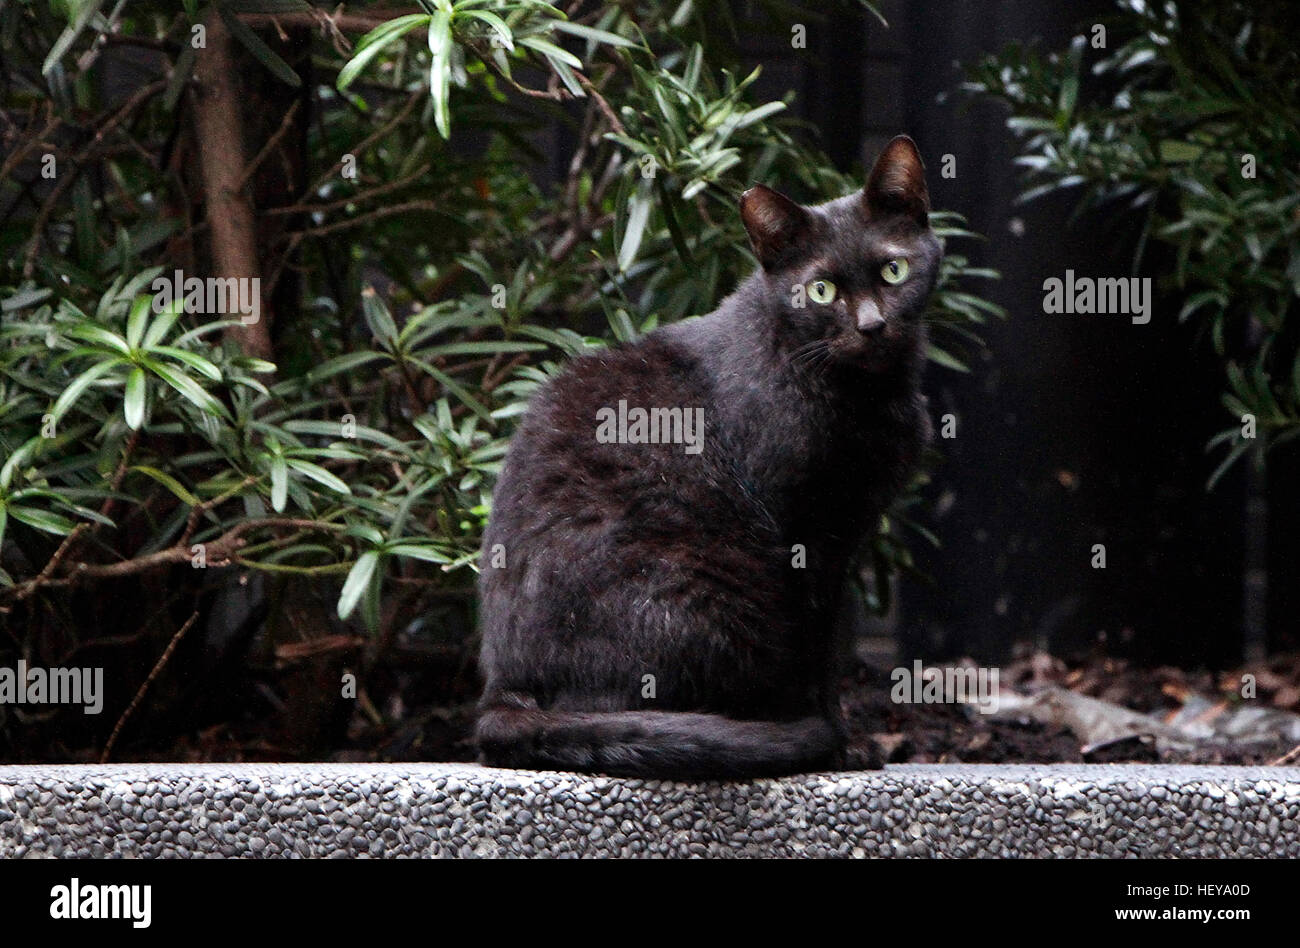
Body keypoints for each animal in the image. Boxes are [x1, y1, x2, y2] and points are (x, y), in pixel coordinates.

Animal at [473, 135, 941, 775]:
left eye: (894, 270)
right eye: (821, 290)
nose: (872, 325)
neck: (866, 395)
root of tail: (502, 688)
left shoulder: (846, 535)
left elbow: (827, 647)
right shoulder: (803, 536)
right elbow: (816, 653)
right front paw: (839, 743)